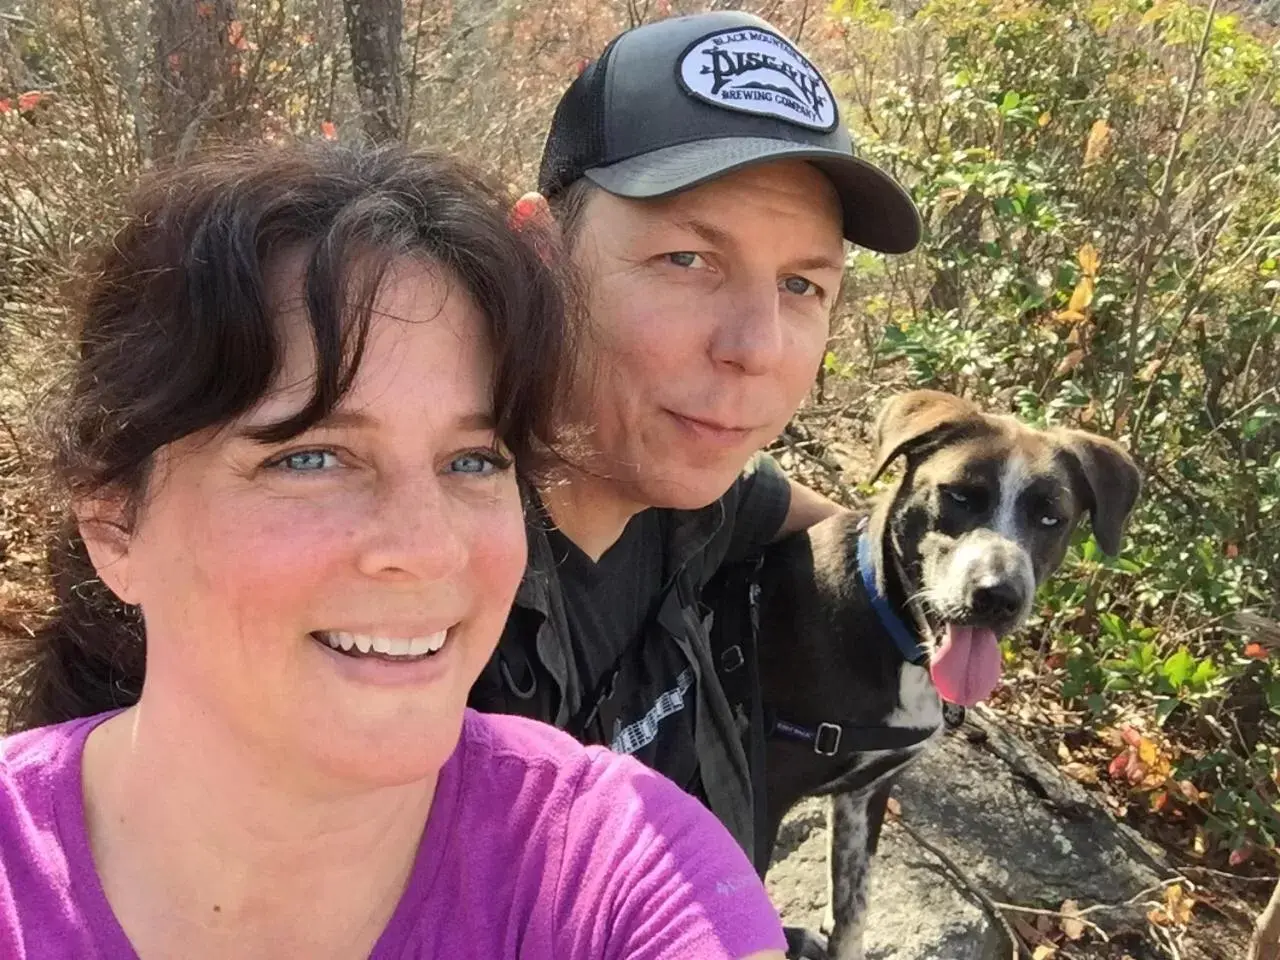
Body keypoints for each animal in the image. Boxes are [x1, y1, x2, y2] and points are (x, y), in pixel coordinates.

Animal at [747, 391, 1141, 960]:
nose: (998, 597)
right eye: (959, 495)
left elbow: (852, 913)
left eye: (1051, 517)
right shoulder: (759, 791)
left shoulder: (866, 794)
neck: (893, 630)